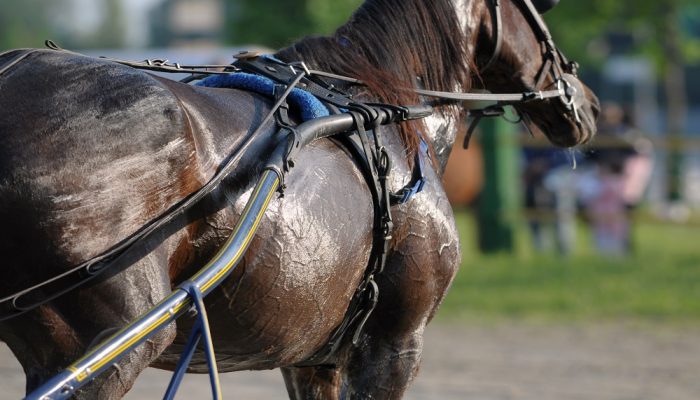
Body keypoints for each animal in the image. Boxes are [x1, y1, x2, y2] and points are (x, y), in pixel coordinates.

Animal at [0, 0, 600, 396]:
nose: (587, 101)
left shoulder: (315, 357)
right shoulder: (393, 345)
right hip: (109, 346)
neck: (379, 108)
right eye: (538, 12)